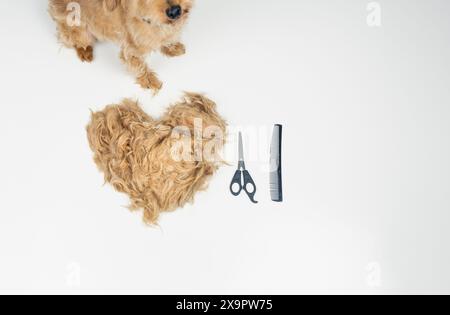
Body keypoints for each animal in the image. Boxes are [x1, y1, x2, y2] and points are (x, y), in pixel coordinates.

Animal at [48, 0, 193, 92]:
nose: (175, 11)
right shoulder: (130, 50)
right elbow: (139, 66)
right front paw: (149, 80)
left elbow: (167, 39)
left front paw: (172, 47)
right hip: (77, 29)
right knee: (72, 38)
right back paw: (85, 50)